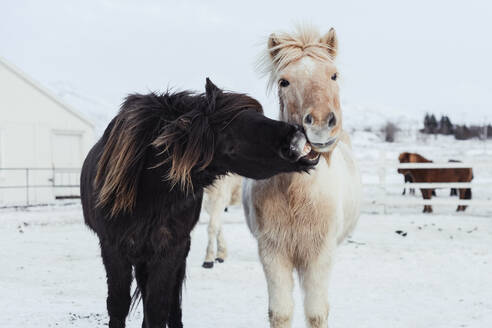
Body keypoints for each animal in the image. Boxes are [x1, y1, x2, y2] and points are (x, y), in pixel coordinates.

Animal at [80, 78, 320, 326]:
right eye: (233, 123)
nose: (299, 135)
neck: (148, 192)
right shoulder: (113, 249)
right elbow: (118, 306)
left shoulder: (170, 250)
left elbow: (158, 308)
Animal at [242, 26, 362, 326]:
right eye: (284, 81)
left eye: (333, 75)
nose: (319, 124)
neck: (297, 194)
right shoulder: (273, 253)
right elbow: (281, 312)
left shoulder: (319, 255)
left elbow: (316, 313)